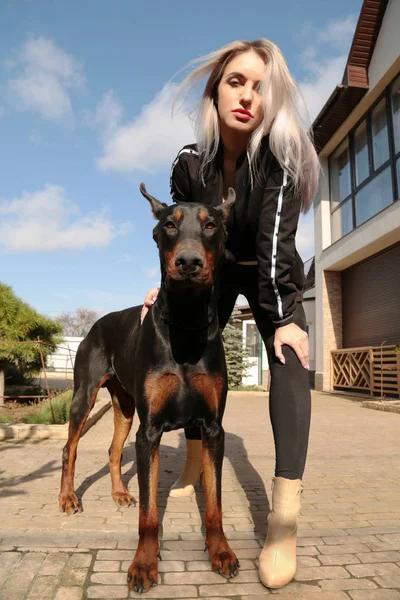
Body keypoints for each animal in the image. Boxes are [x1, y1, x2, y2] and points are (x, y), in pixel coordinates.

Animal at [59, 185, 241, 592]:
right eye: (169, 224)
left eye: (211, 224)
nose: (188, 262)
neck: (186, 325)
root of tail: (97, 323)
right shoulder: (151, 430)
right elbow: (149, 512)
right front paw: (143, 563)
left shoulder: (212, 428)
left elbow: (215, 502)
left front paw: (221, 552)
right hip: (84, 396)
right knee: (69, 448)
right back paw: (67, 498)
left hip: (125, 408)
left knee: (113, 450)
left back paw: (120, 492)